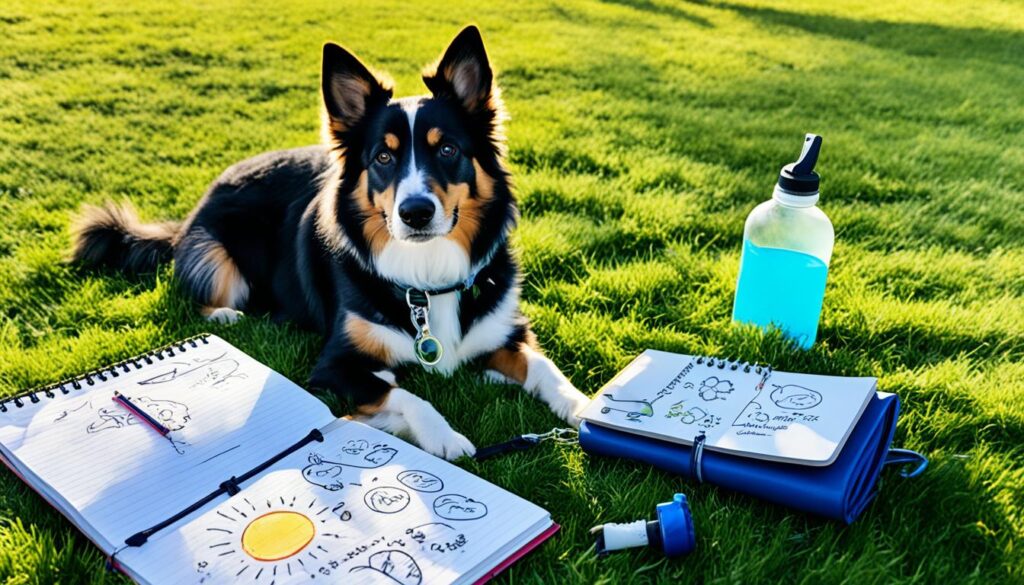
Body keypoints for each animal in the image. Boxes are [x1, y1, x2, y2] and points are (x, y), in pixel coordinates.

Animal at [72, 25, 593, 461]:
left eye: (447, 149)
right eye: (382, 157)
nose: (416, 212)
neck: (425, 273)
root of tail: (196, 207)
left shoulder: (504, 333)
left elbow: (544, 368)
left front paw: (586, 408)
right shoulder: (334, 365)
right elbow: (405, 392)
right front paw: (441, 436)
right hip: (220, 263)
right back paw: (224, 315)